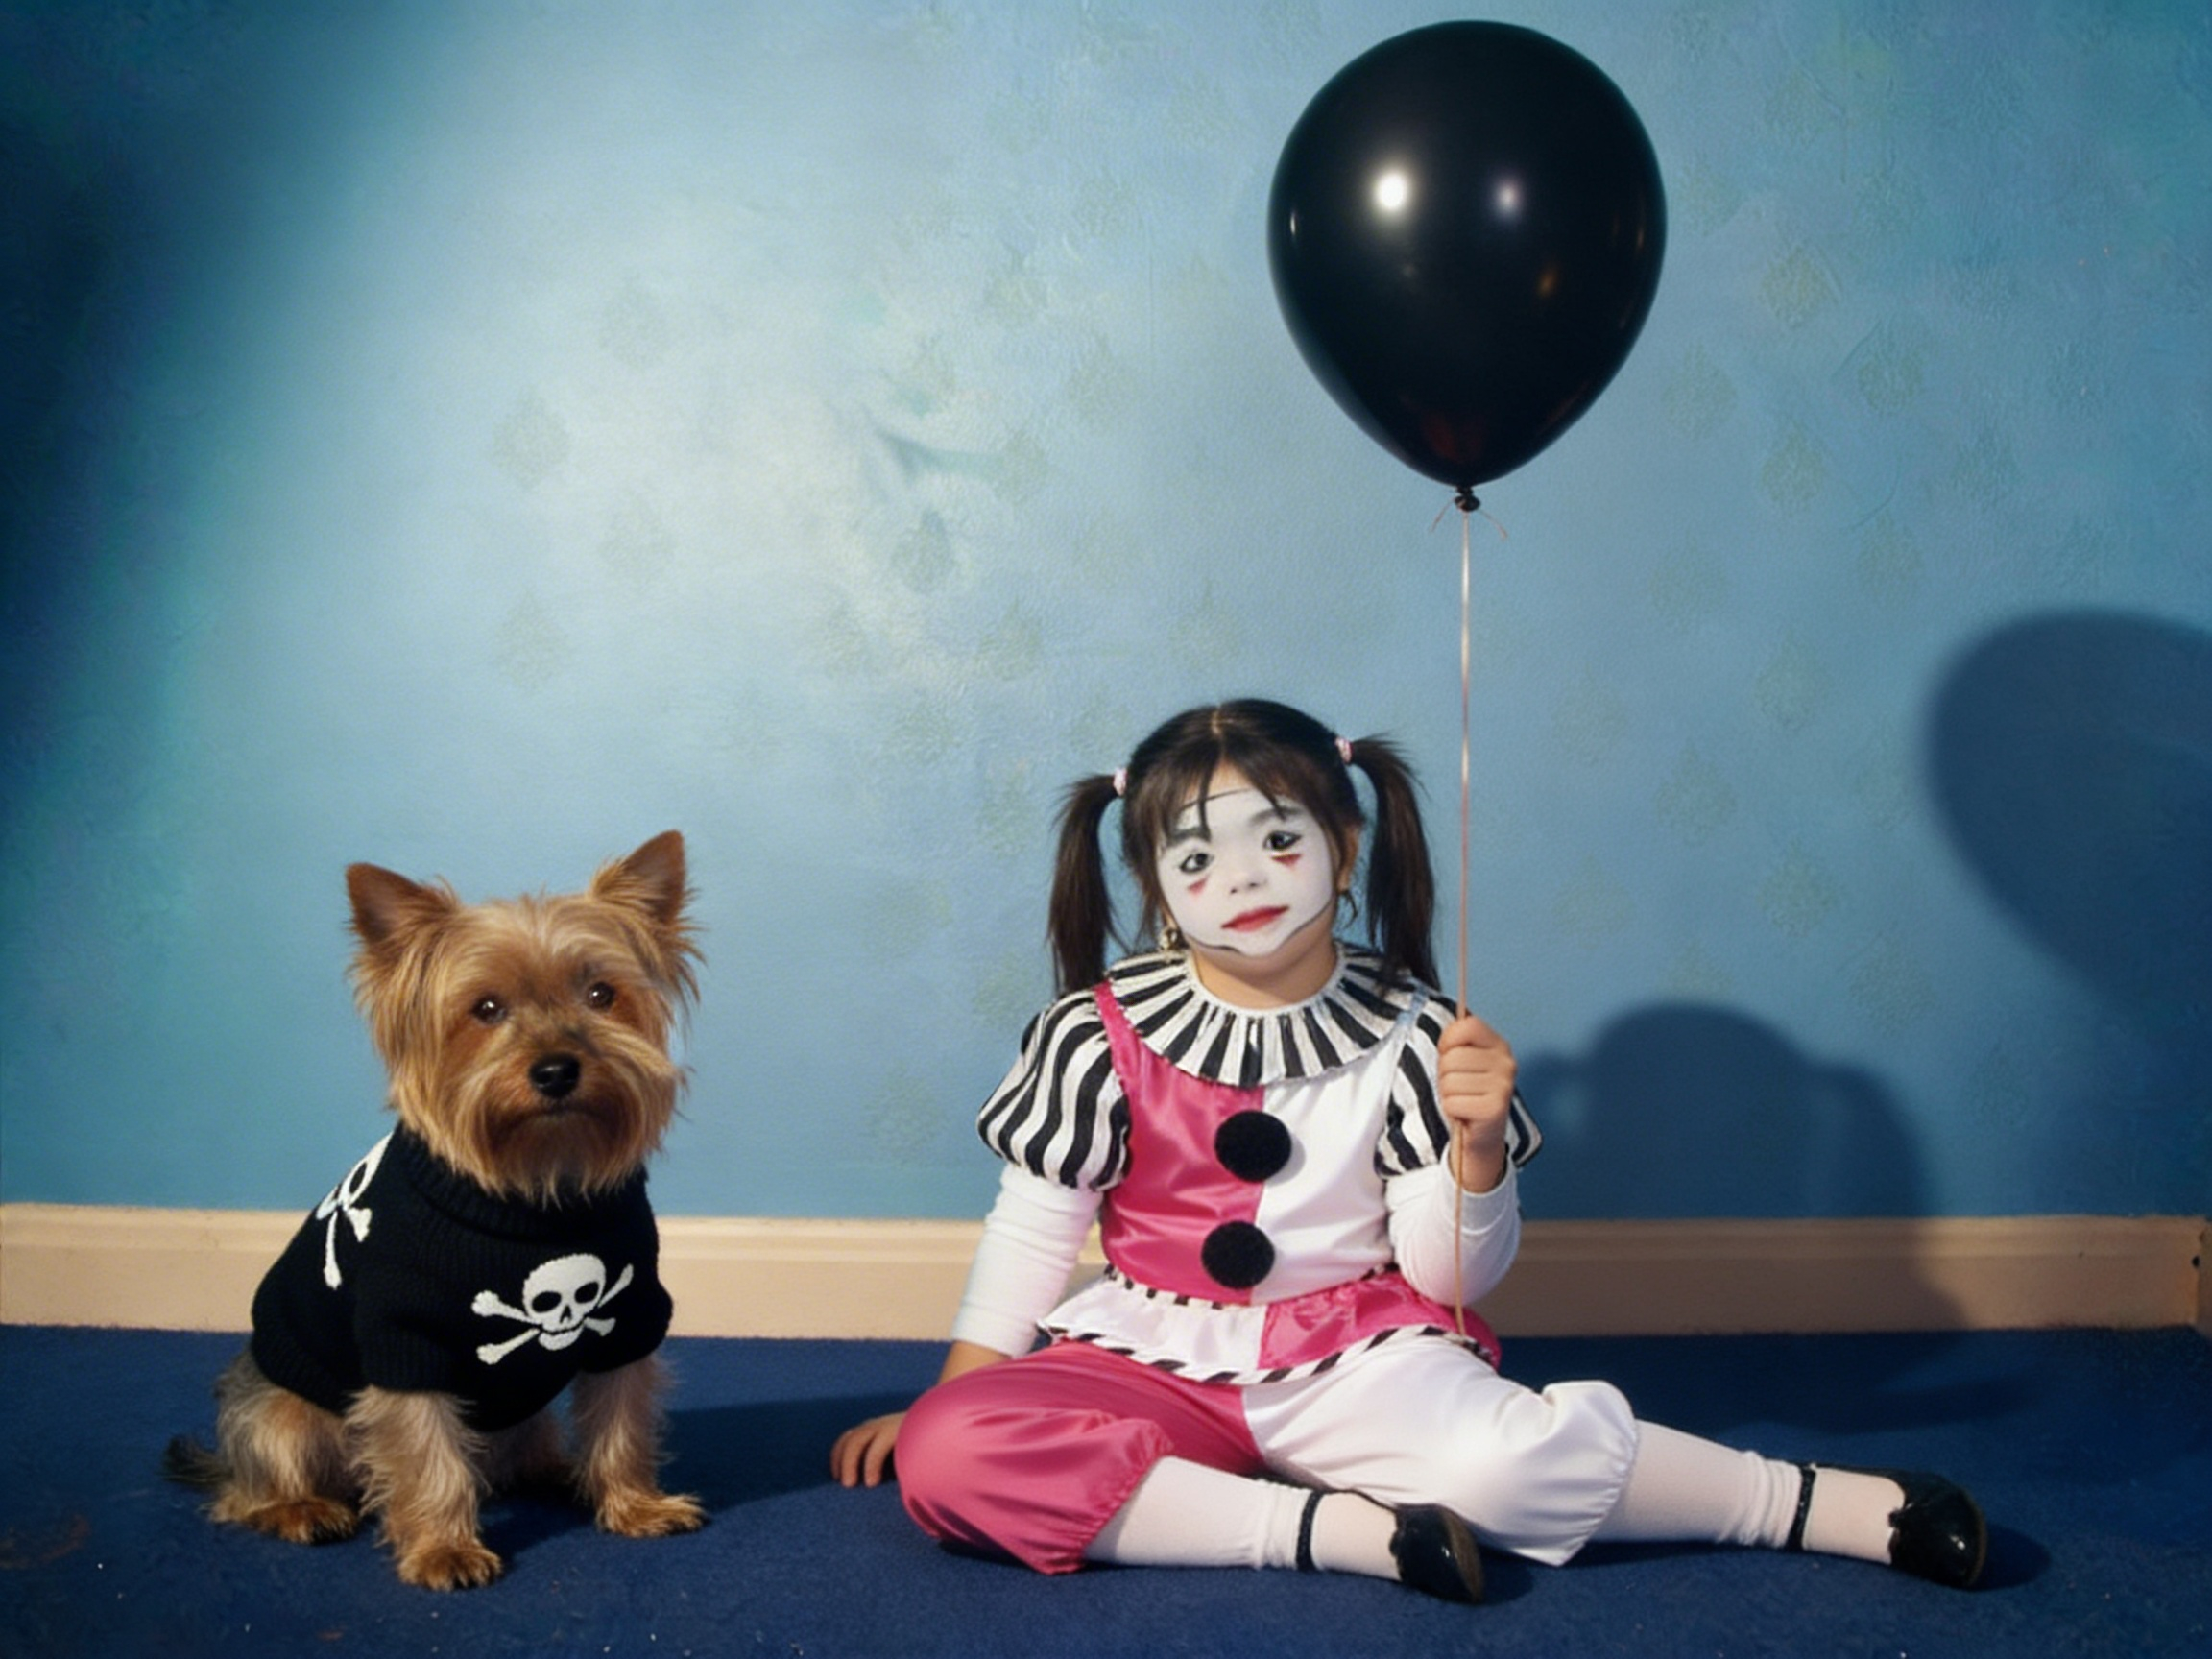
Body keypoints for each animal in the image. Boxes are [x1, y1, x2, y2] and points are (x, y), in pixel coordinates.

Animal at [165, 831, 705, 1589]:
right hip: (278, 1410)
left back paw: (559, 1471)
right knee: (252, 1487)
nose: (556, 1070)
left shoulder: (626, 1317)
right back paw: (299, 1507)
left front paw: (635, 1503)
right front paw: (443, 1549)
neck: (534, 1186)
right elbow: (425, 1453)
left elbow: (621, 1416)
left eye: (602, 996)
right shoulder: (404, 1343)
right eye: (486, 1009)